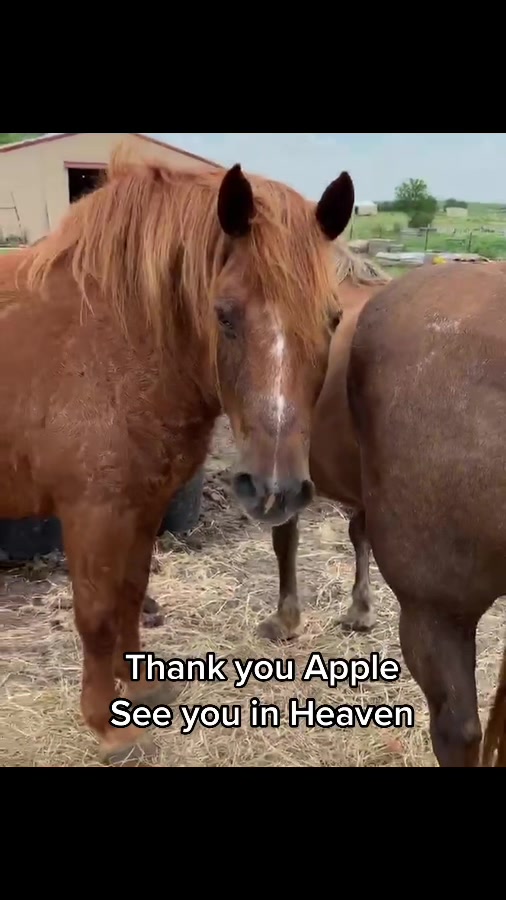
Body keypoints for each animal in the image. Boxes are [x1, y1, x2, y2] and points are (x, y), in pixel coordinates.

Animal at [1, 146, 355, 765]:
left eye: (333, 318)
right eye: (224, 314)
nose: (275, 490)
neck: (113, 340)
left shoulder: (143, 505)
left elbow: (129, 595)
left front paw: (138, 691)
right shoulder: (92, 512)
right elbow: (97, 613)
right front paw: (108, 729)